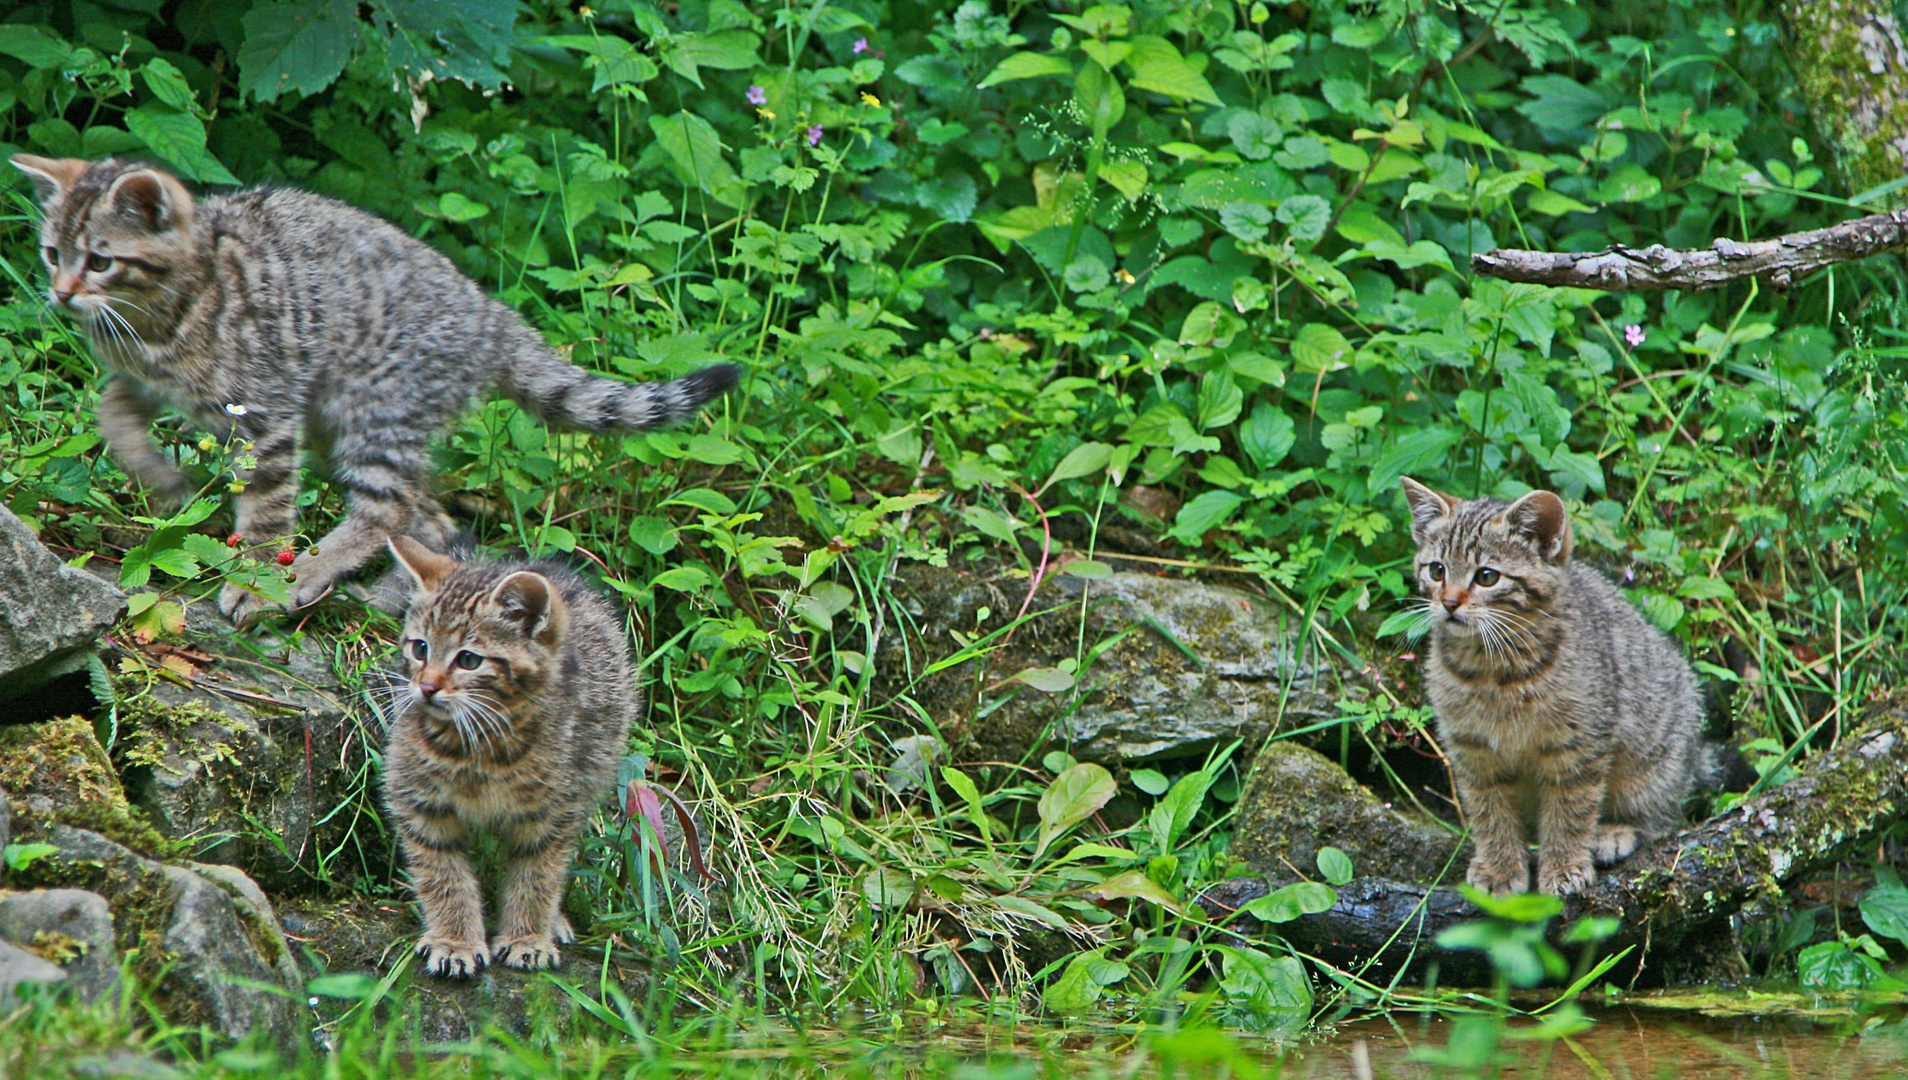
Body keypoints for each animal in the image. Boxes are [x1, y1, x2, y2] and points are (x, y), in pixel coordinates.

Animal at [14, 155, 744, 622]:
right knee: (436, 522)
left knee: (387, 510)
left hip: (375, 409)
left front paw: (256, 580)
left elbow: (267, 511)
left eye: (100, 260)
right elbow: (112, 414)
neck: (158, 319)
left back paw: (309, 573)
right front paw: (161, 478)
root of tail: (493, 316)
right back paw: (397, 597)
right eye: (52, 254)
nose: (61, 293)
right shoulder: (150, 383)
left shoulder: (268, 415)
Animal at [375, 538, 637, 976]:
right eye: (420, 648)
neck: (477, 747)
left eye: (468, 660)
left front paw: (527, 936)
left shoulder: (552, 815)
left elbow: (537, 875)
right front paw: (455, 939)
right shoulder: (419, 803)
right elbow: (442, 873)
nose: (425, 687)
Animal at [1404, 478, 1701, 900]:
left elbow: (1569, 811)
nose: (1447, 602)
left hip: (1654, 763)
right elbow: (1489, 812)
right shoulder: (1472, 751)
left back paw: (1613, 832)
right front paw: (1498, 867)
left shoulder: (1578, 746)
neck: (1494, 671)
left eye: (1487, 576)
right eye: (1437, 569)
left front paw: (1564, 866)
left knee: (1664, 816)